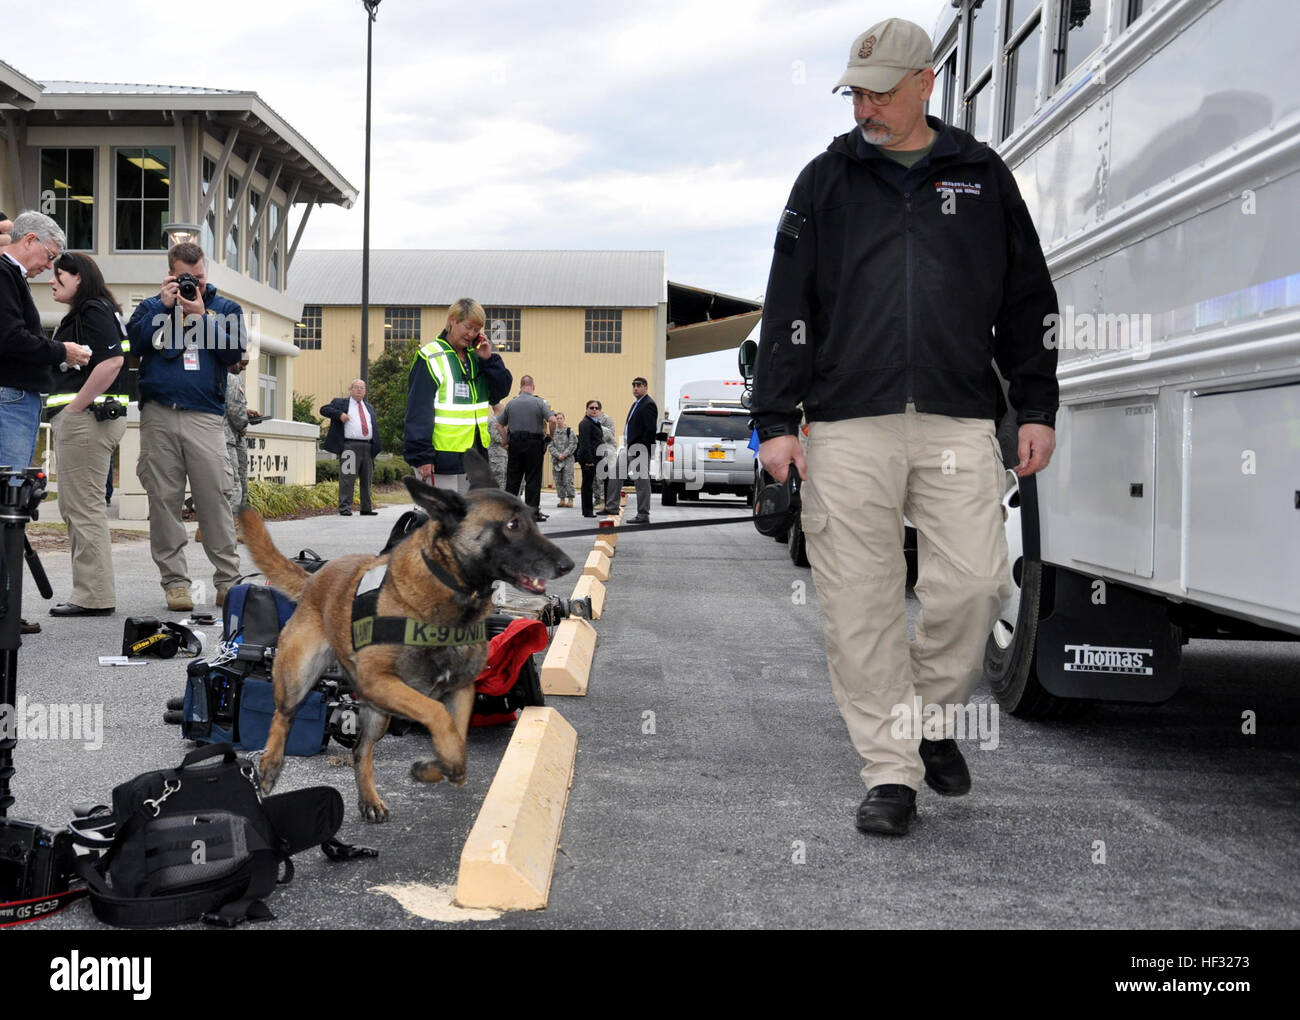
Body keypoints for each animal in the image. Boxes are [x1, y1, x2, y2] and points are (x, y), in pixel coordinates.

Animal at [239, 454, 574, 821]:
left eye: (532, 518)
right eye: (512, 525)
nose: (567, 565)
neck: (447, 591)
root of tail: (315, 579)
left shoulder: (460, 689)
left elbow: (456, 741)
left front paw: (435, 768)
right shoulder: (385, 682)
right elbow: (437, 714)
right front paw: (441, 762)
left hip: (377, 713)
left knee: (360, 750)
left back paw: (369, 799)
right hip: (299, 679)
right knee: (281, 718)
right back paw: (269, 768)